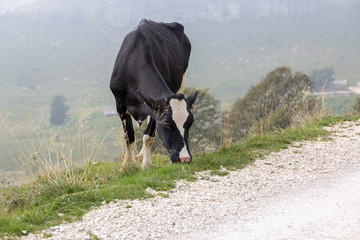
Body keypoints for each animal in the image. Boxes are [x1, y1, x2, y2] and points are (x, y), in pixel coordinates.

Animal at [110, 19, 198, 169]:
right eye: (167, 124)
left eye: (189, 123)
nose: (185, 158)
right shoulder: (120, 104)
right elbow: (129, 135)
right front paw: (127, 165)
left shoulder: (154, 107)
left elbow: (148, 136)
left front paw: (146, 164)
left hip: (181, 82)